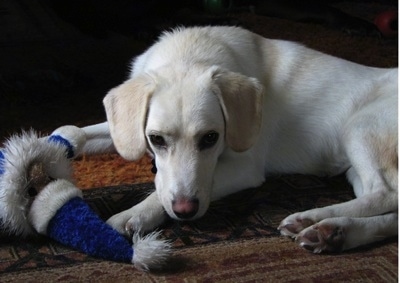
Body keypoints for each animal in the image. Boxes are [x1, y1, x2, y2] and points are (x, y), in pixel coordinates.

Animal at [78, 26, 396, 253]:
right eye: (155, 139)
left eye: (211, 138)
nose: (185, 212)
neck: (189, 52)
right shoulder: (124, 129)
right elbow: (78, 132)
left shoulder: (245, 168)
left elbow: (161, 192)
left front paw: (135, 213)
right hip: (355, 170)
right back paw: (334, 233)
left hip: (359, 129)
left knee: (384, 193)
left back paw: (314, 217)